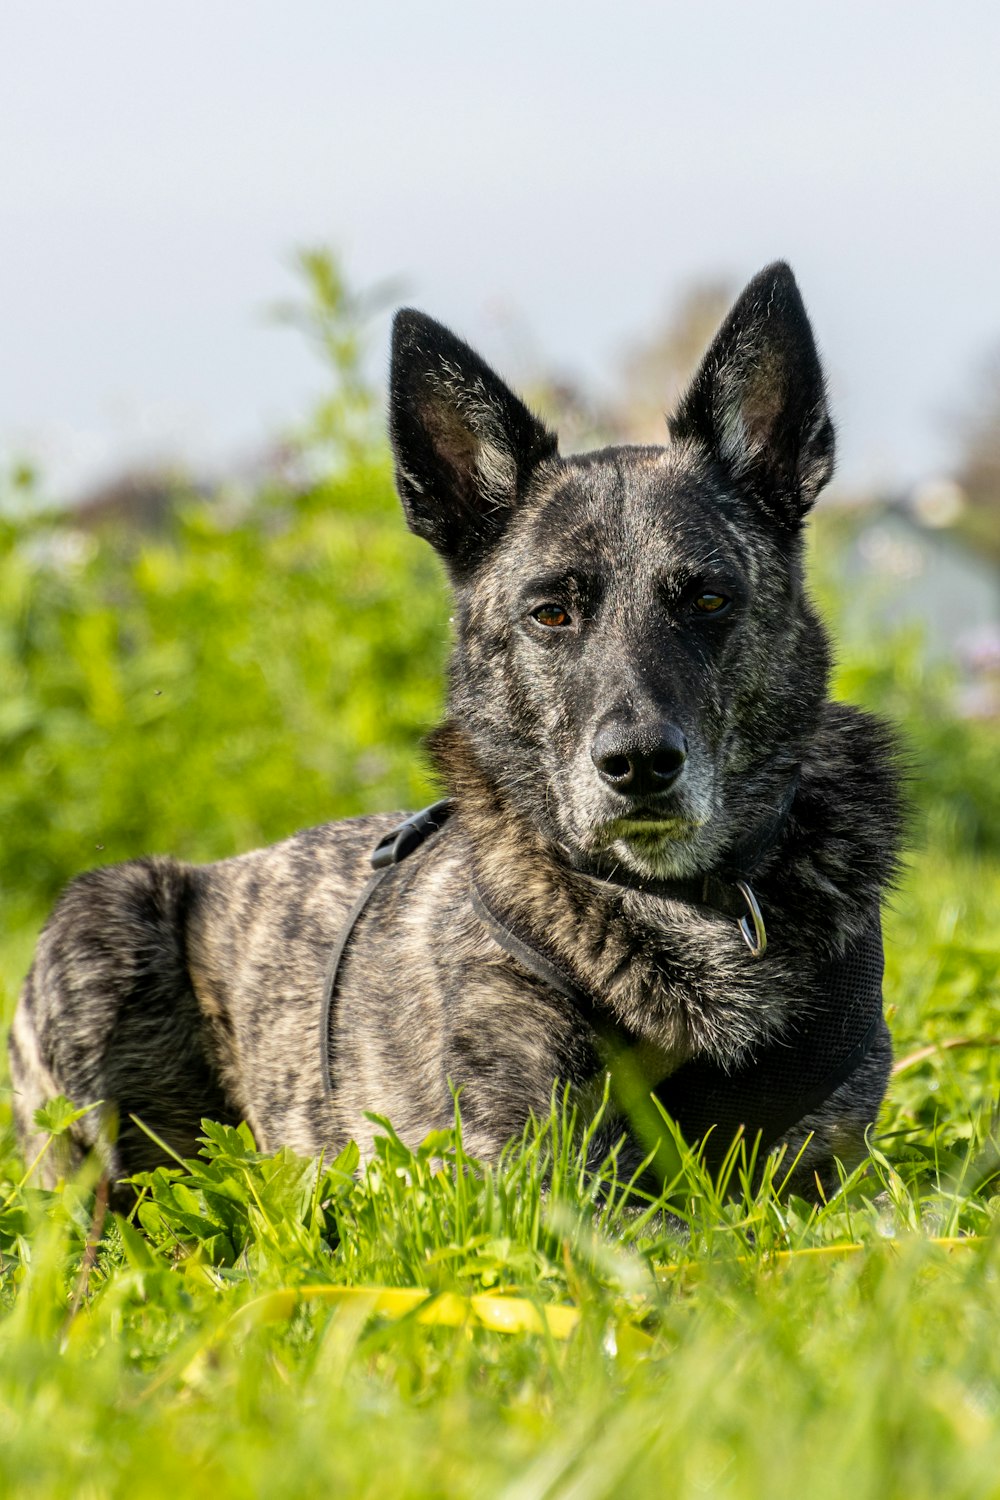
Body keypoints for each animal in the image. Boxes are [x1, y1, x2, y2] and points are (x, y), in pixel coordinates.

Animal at [7, 264, 905, 1200]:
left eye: (708, 598)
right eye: (550, 612)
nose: (638, 765)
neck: (679, 901)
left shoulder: (831, 1176)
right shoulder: (538, 1166)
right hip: (103, 926)